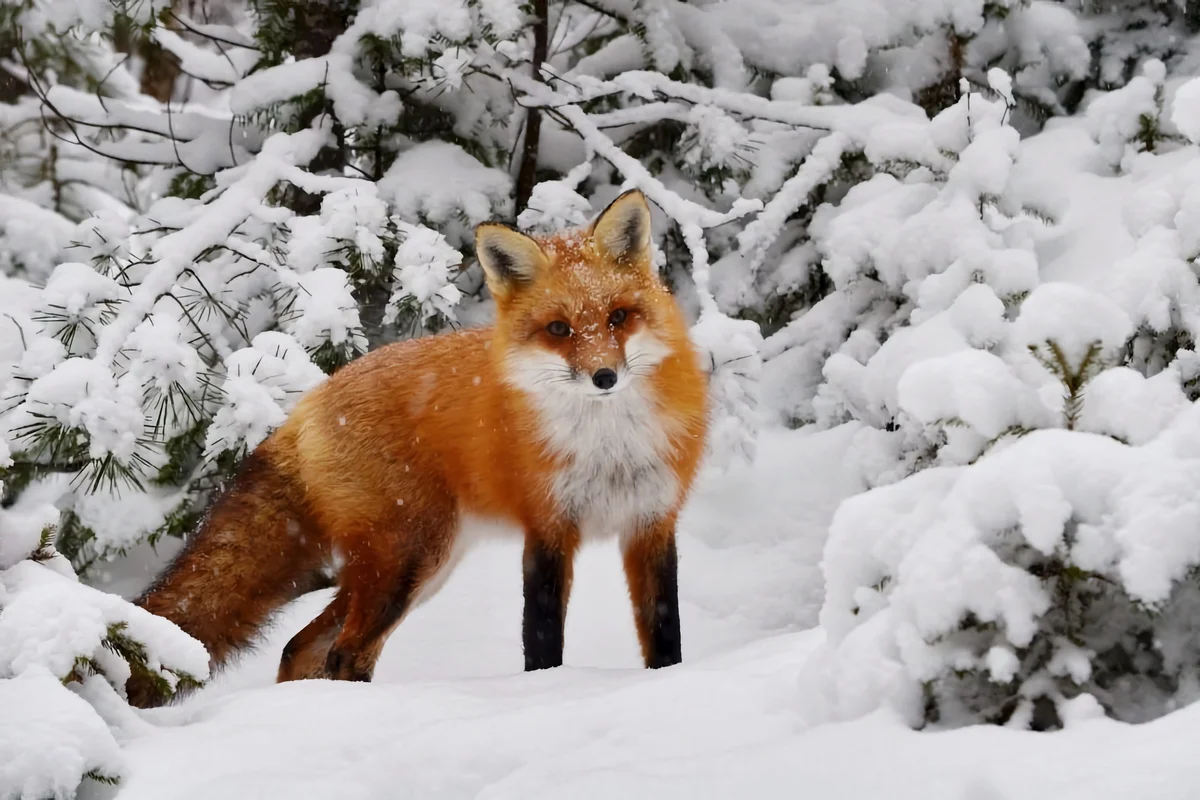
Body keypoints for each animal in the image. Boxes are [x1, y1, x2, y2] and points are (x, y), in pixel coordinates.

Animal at [126, 189, 705, 705]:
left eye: (618, 317)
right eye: (559, 329)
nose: (605, 377)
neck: (608, 446)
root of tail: (311, 400)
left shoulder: (652, 522)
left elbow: (666, 635)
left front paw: (668, 686)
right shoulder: (546, 528)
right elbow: (542, 644)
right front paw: (542, 696)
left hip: (412, 567)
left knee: (299, 646)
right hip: (409, 560)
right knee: (344, 653)